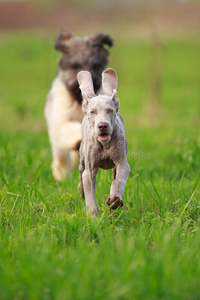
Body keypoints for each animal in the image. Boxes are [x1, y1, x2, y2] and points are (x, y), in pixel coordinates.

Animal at [77, 68, 130, 216]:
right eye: (93, 112)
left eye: (110, 110)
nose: (102, 126)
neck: (104, 144)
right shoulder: (89, 171)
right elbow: (90, 191)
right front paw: (93, 215)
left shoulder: (123, 164)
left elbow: (118, 181)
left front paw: (115, 199)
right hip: (82, 159)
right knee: (81, 175)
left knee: (114, 175)